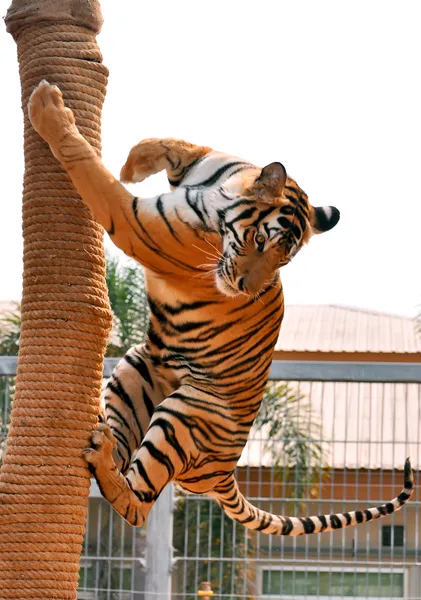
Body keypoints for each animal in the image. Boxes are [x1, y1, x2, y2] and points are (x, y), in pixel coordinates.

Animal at [27, 81, 412, 540]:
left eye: (283, 260)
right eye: (262, 241)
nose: (248, 289)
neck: (220, 197)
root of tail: (224, 472)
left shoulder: (136, 222)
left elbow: (92, 170)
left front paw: (49, 109)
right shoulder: (202, 163)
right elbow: (172, 142)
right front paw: (132, 164)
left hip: (182, 416)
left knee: (137, 501)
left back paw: (103, 460)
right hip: (135, 371)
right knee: (122, 451)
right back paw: (100, 439)